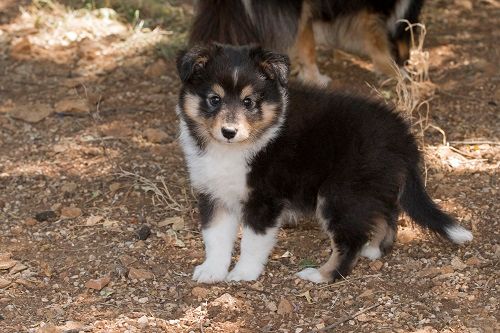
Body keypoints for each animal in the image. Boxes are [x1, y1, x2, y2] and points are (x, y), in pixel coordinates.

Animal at [177, 43, 472, 282]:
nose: (229, 132)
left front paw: (243, 274)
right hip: (370, 188)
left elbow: (252, 240)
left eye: (249, 102)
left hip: (340, 193)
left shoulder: (264, 199)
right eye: (214, 100)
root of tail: (403, 137)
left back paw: (322, 274)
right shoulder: (213, 194)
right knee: (386, 217)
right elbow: (215, 237)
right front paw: (212, 271)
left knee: (350, 240)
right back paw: (373, 249)